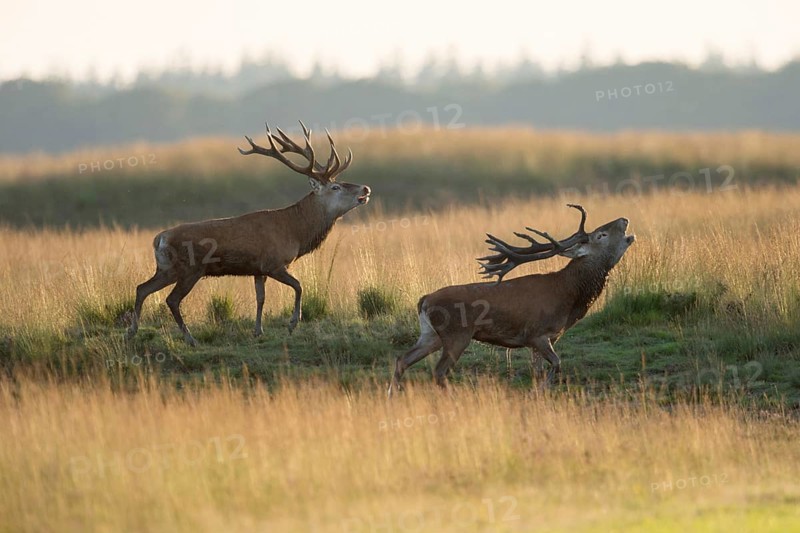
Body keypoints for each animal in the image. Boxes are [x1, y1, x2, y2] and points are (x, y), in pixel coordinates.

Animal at [126, 121, 371, 346]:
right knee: (171, 299)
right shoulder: (274, 263)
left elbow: (260, 298)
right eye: (335, 187)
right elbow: (299, 286)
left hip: (167, 268)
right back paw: (190, 338)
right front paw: (293, 323)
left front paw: (258, 330)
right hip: (190, 268)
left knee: (142, 288)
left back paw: (132, 331)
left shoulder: (258, 269)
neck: (294, 231)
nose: (366, 188)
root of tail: (159, 238)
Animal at [388, 204, 634, 395]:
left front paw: (539, 391)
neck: (568, 298)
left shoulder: (547, 339)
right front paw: (540, 390)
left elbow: (538, 371)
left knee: (402, 359)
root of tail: (424, 300)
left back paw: (393, 394)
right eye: (601, 235)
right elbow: (557, 364)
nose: (624, 219)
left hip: (430, 335)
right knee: (439, 371)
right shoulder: (536, 333)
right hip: (456, 334)